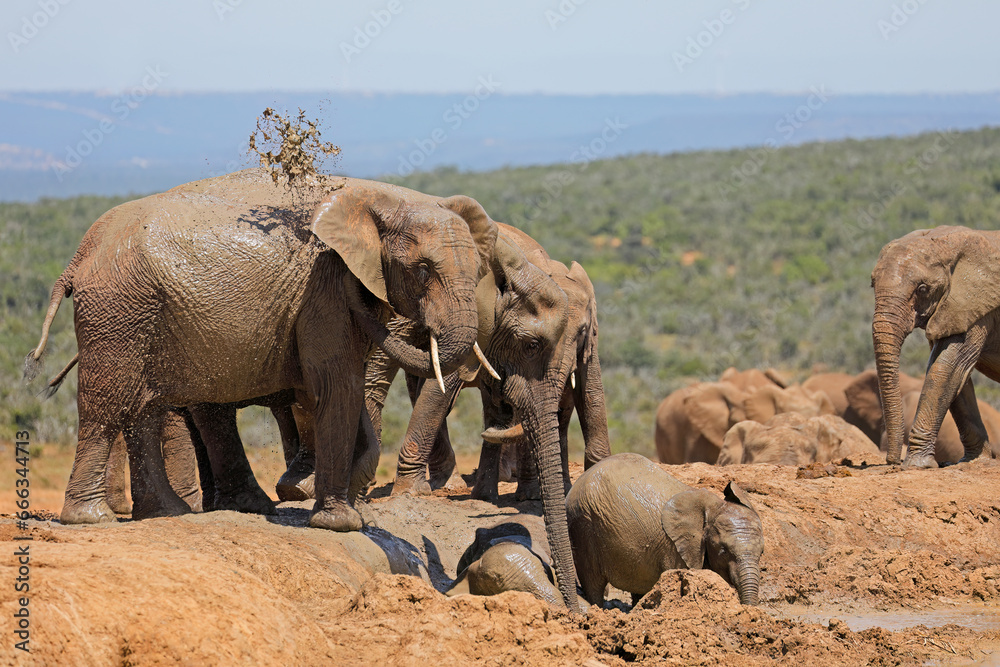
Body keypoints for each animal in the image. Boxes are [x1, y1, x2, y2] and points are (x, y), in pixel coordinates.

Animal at [25, 168, 494, 532]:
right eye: (423, 270)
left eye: (478, 271)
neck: (389, 200)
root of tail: (79, 256)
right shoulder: (324, 290)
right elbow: (336, 387)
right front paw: (340, 524)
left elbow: (349, 392)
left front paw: (355, 514)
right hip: (119, 310)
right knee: (108, 406)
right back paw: (91, 517)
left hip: (143, 315)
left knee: (146, 408)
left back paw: (169, 513)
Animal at [566, 453, 763, 606]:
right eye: (723, 550)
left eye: (761, 553)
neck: (713, 506)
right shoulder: (674, 549)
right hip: (583, 524)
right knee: (593, 583)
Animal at [872, 226, 1000, 467]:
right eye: (872, 284)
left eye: (922, 289)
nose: (892, 461)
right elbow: (955, 374)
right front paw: (975, 461)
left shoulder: (976, 304)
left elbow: (947, 367)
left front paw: (916, 465)